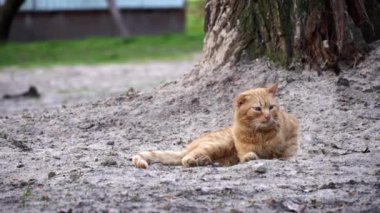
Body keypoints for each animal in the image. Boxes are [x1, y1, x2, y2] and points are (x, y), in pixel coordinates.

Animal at [132, 83, 298, 168]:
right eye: (257, 109)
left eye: (271, 107)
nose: (268, 116)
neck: (260, 134)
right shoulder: (243, 149)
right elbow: (246, 154)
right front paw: (251, 156)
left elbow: (288, 152)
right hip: (218, 144)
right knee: (185, 159)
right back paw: (195, 161)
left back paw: (204, 161)